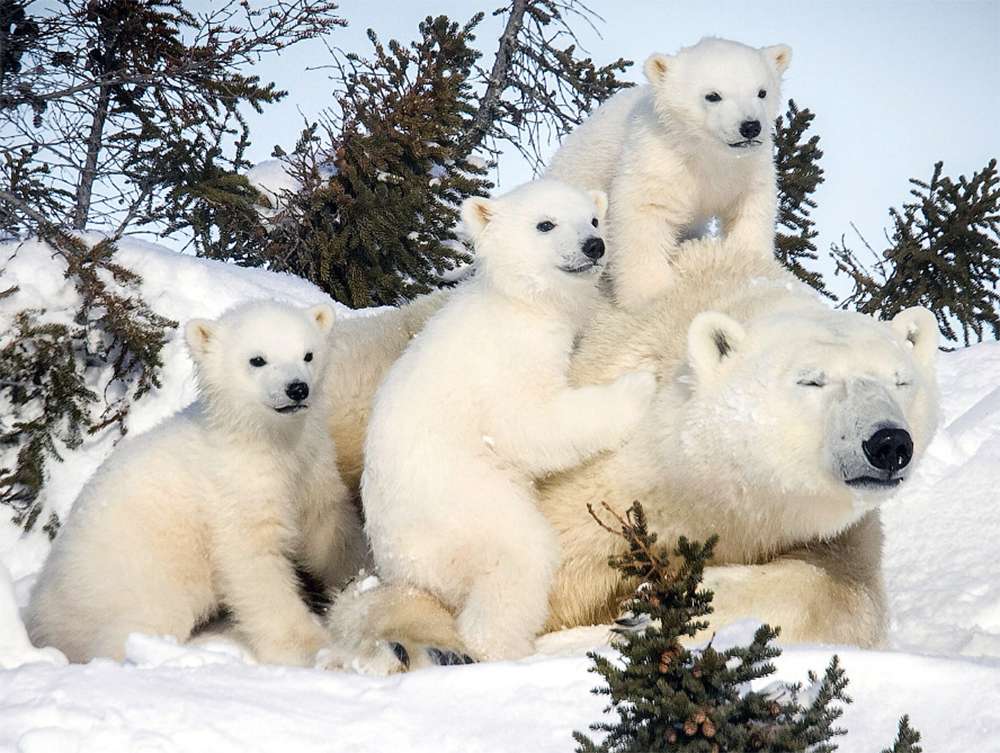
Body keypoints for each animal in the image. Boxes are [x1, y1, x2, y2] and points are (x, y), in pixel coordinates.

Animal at [27, 301, 365, 665]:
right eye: (257, 359)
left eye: (308, 354)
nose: (297, 388)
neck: (260, 440)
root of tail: (39, 612)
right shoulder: (233, 490)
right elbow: (253, 564)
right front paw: (313, 648)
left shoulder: (311, 466)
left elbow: (328, 524)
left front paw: (362, 576)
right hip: (132, 580)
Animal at [320, 236, 939, 672]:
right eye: (811, 380)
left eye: (901, 380)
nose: (888, 443)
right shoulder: (598, 483)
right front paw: (419, 642)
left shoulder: (826, 531)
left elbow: (847, 593)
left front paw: (653, 609)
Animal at [360, 179, 658, 662]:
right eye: (545, 223)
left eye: (594, 219)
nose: (594, 246)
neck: (519, 304)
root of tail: (402, 570)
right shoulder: (505, 361)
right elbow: (530, 424)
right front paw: (639, 384)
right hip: (470, 507)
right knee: (520, 558)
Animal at [545, 37, 791, 311]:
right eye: (712, 95)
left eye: (762, 92)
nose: (750, 126)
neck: (705, 154)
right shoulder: (659, 159)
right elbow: (644, 212)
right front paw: (649, 293)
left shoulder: (747, 168)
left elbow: (751, 208)